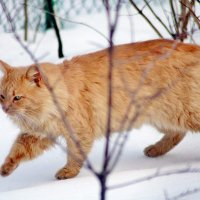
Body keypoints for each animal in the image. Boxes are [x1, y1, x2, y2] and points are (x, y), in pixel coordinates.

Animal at [0, 39, 200, 180]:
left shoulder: (78, 132)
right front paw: (5, 169)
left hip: (183, 114)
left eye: (17, 98)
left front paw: (68, 172)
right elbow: (17, 150)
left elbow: (75, 155)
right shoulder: (39, 133)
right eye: (2, 96)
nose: (5, 108)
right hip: (160, 117)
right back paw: (155, 150)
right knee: (177, 134)